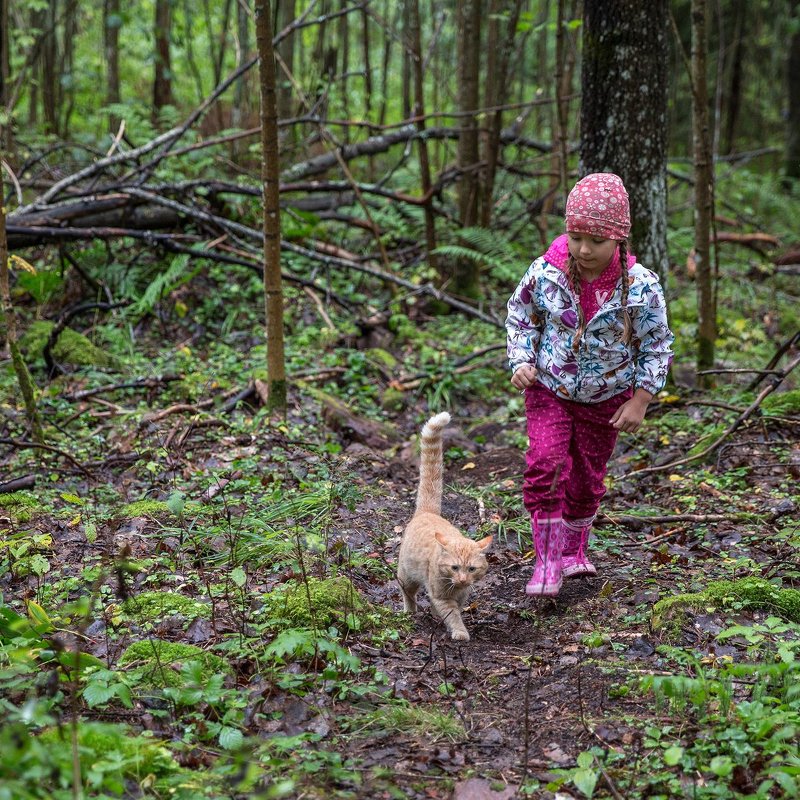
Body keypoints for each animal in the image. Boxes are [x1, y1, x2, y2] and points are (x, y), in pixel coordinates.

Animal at [396, 416, 490, 640]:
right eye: (454, 567)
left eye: (471, 569)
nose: (462, 579)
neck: (455, 588)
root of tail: (427, 512)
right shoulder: (442, 596)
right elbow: (452, 615)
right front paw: (460, 632)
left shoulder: (462, 595)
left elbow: (453, 609)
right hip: (407, 575)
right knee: (407, 593)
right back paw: (409, 611)